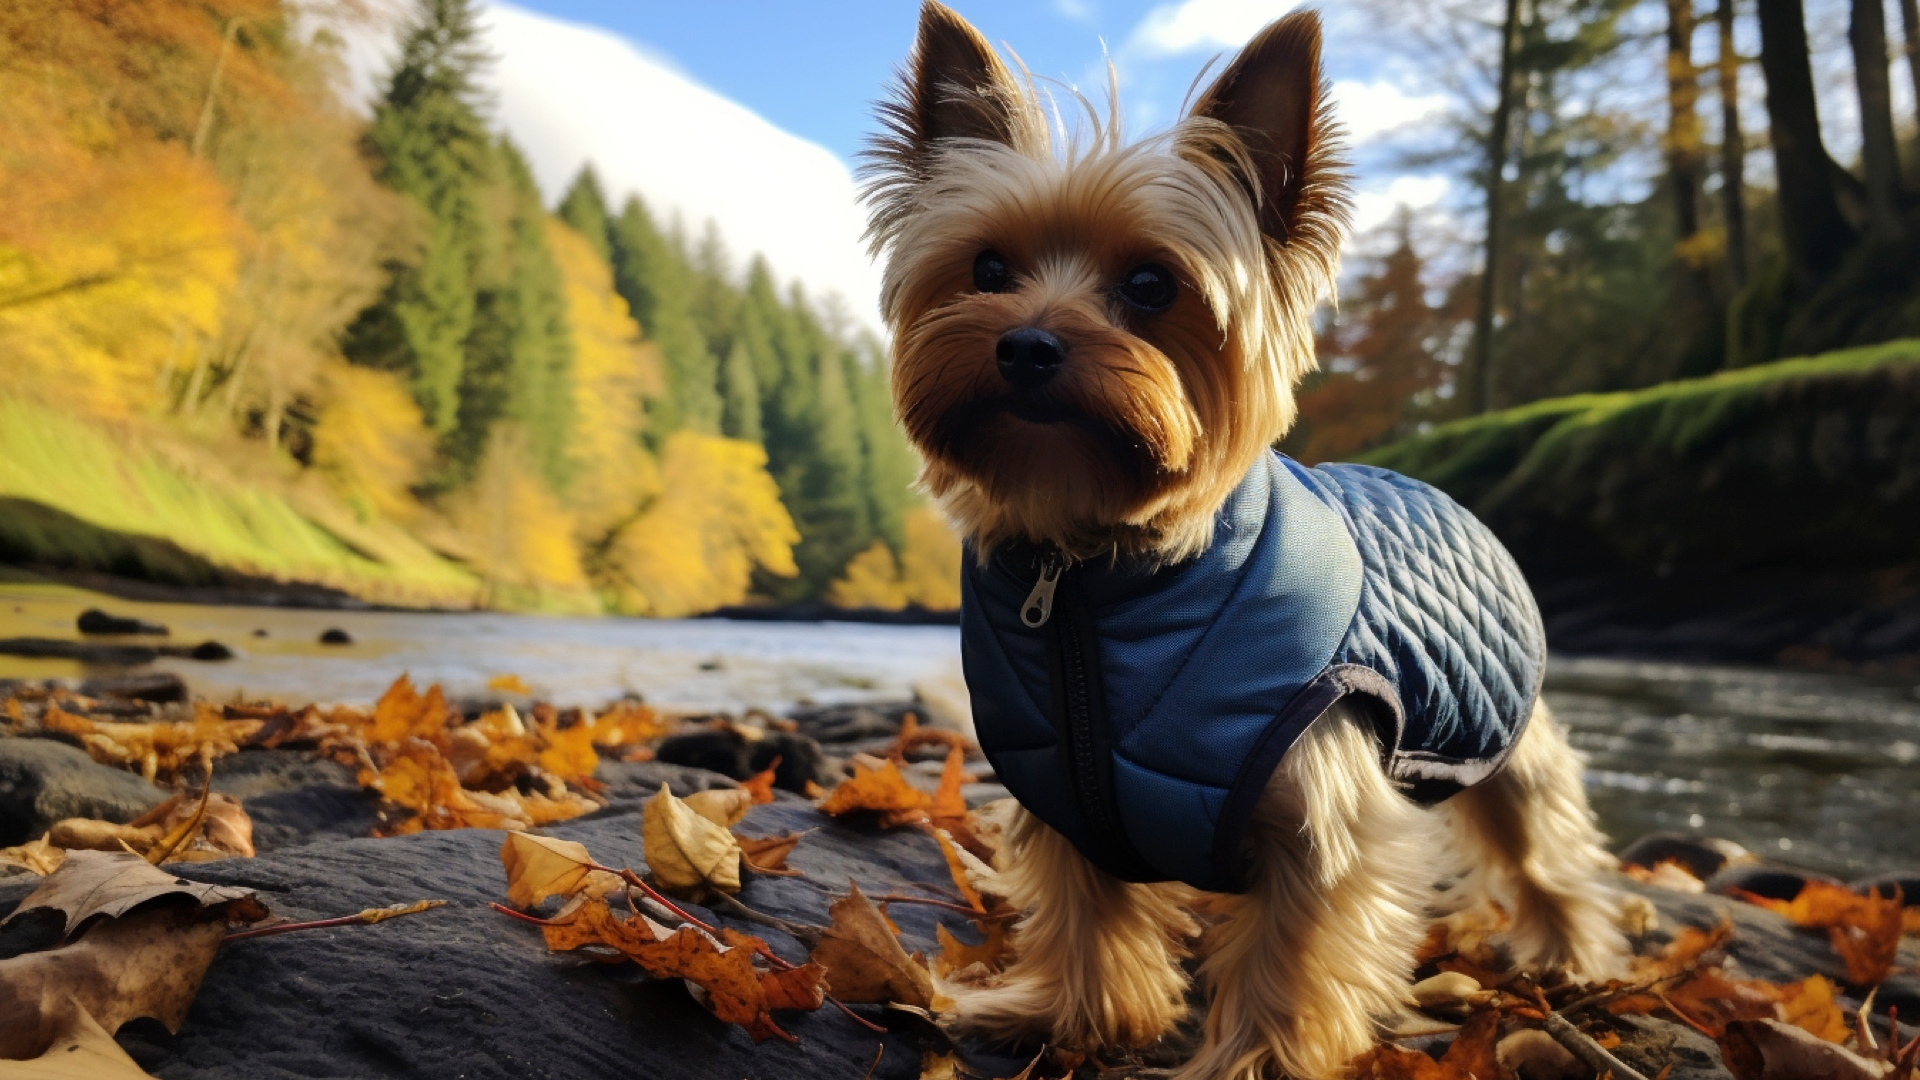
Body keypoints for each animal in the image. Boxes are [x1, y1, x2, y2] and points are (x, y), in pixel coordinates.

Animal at [864, 4, 1628, 1068]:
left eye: (1152, 285)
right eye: (987, 269)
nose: (1024, 343)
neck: (1095, 570)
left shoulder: (1322, 814)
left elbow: (1291, 958)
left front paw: (1256, 1061)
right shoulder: (1065, 794)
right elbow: (1083, 913)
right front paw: (1067, 1016)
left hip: (1505, 740)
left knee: (1548, 851)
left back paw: (1572, 957)